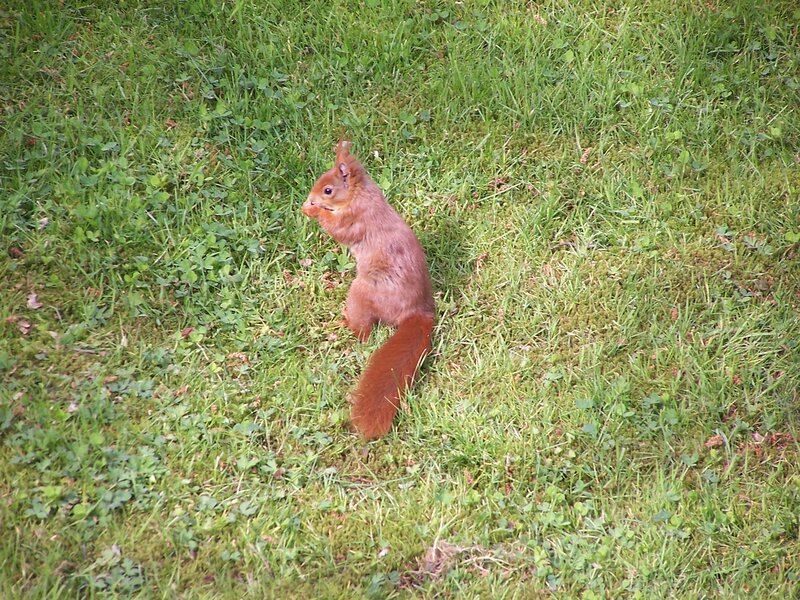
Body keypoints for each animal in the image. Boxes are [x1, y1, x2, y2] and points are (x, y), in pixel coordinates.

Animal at [302, 141, 435, 439]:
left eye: (328, 190)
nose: (310, 199)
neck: (360, 196)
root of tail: (417, 311)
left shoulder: (356, 219)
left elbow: (337, 229)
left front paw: (314, 212)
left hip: (362, 292)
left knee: (364, 331)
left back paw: (345, 325)